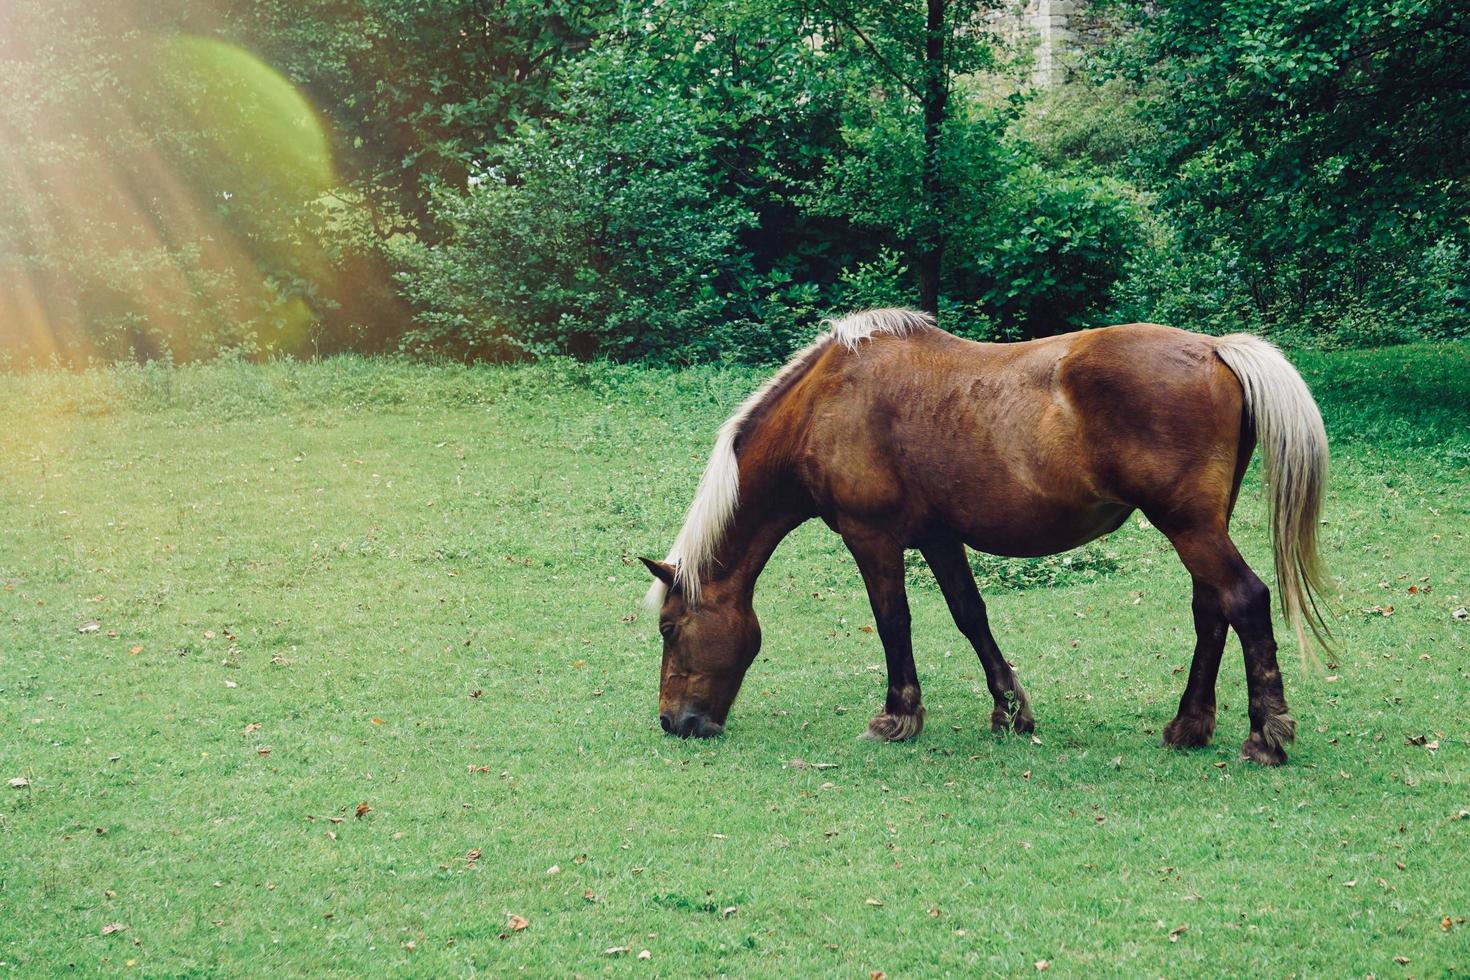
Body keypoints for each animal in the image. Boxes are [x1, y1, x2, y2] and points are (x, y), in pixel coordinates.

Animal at [637, 312, 1328, 764]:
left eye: (669, 629)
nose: (674, 722)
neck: (828, 404)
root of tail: (1216, 350)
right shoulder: (939, 538)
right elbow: (970, 615)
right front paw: (1010, 710)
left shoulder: (872, 538)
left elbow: (893, 620)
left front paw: (898, 715)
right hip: (1199, 528)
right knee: (1211, 612)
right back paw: (1189, 725)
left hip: (1189, 527)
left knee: (1245, 601)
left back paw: (1266, 734)